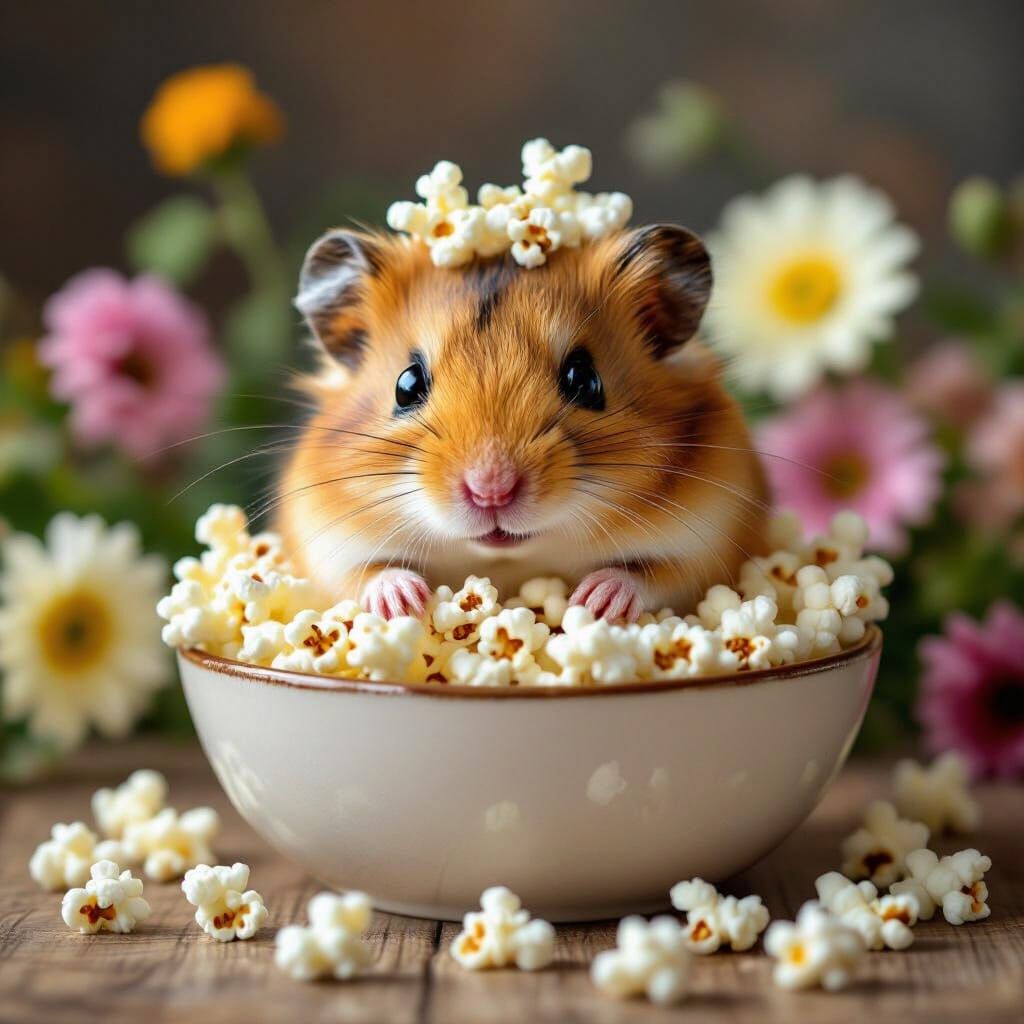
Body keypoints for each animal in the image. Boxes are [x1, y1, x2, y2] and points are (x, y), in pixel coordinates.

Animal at [278, 224, 766, 621]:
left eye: (585, 380)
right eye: (406, 385)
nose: (491, 491)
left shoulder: (707, 544)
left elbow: (652, 577)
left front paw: (594, 602)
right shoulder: (326, 547)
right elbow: (368, 574)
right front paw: (406, 602)